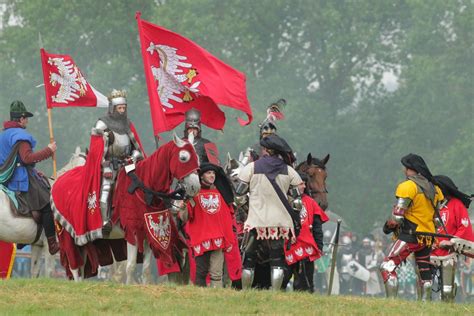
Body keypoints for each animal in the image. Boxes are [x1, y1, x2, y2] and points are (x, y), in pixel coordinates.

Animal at [51, 135, 200, 282]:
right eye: (183, 158)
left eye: (197, 157)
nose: (195, 187)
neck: (145, 189)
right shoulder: (133, 232)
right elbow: (131, 266)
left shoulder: (147, 235)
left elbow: (145, 270)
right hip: (67, 236)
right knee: (75, 267)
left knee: (81, 267)